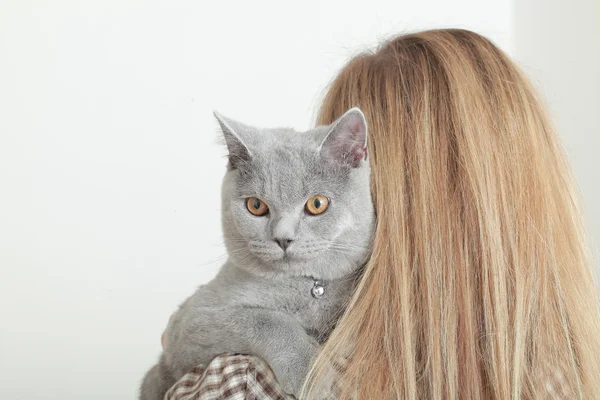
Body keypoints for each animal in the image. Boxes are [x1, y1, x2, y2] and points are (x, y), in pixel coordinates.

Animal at [141, 108, 376, 398]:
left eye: (317, 204)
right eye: (256, 206)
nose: (283, 238)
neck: (308, 287)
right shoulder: (191, 323)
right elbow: (268, 319)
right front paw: (311, 376)